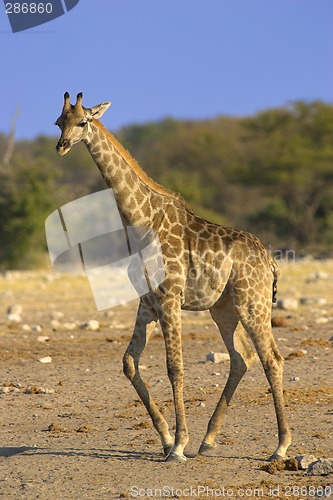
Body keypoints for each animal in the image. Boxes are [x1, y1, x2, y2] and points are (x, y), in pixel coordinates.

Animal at [55, 93, 290, 460]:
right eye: (57, 122)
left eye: (83, 122)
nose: (62, 146)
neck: (141, 222)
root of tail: (269, 260)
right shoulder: (147, 304)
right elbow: (129, 363)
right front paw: (167, 438)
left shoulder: (169, 299)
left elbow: (174, 367)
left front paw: (179, 444)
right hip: (223, 309)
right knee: (241, 358)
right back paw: (209, 440)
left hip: (252, 303)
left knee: (272, 359)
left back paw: (280, 447)